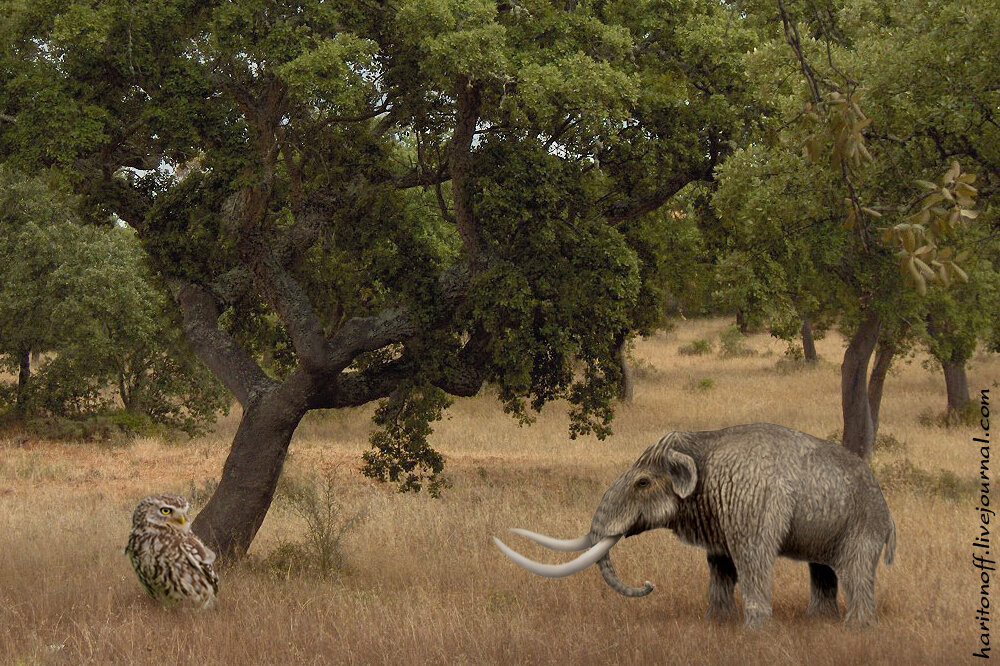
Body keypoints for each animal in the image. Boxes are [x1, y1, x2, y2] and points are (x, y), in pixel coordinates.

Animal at [496, 422, 896, 624]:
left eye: (642, 483)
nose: (649, 584)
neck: (702, 444)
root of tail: (889, 515)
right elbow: (719, 565)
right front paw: (716, 623)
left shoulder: (752, 506)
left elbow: (751, 561)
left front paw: (754, 633)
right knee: (822, 570)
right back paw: (821, 622)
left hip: (862, 530)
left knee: (855, 572)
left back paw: (855, 629)